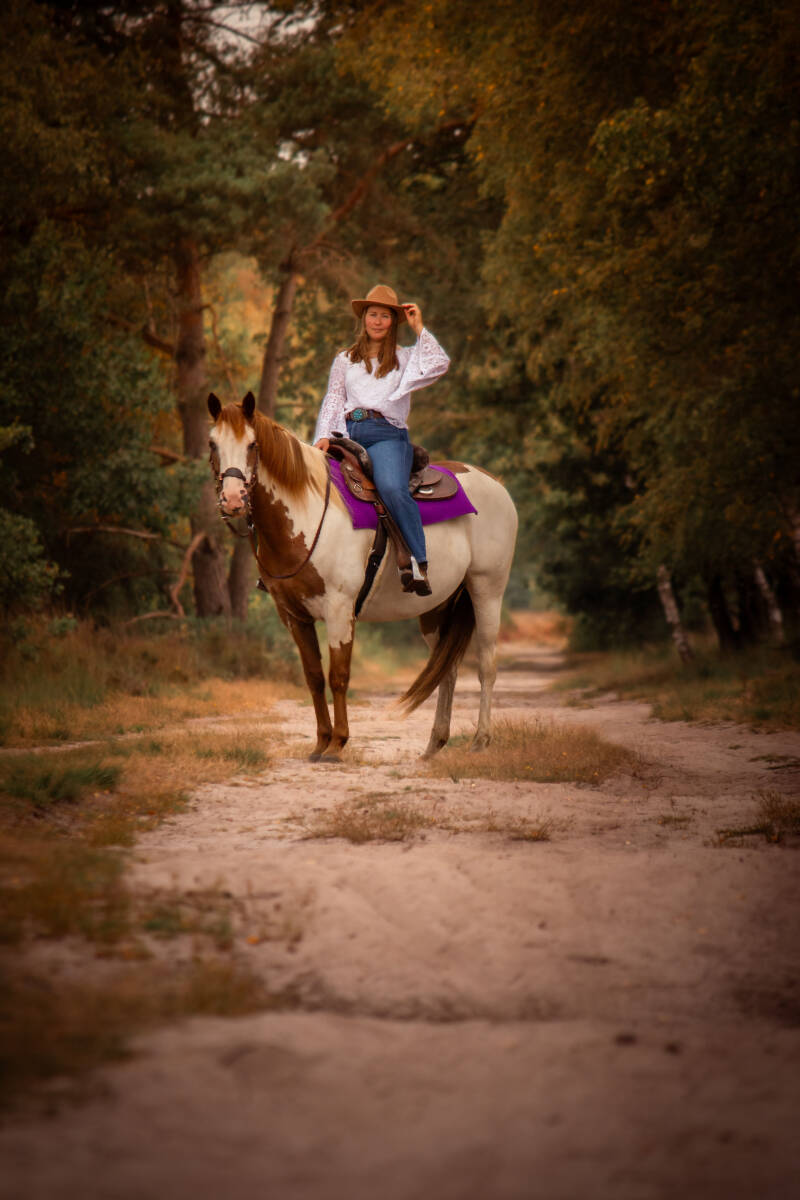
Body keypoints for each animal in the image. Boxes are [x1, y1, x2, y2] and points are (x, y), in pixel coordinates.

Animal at [207, 391, 518, 762]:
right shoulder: (294, 616)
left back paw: (481, 741)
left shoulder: (339, 609)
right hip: (437, 608)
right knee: (448, 668)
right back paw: (434, 745)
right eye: (212, 443)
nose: (233, 500)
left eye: (253, 444)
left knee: (487, 664)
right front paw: (320, 743)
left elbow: (338, 676)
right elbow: (314, 677)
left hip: (487, 589)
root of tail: (495, 484)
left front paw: (337, 744)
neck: (308, 511)